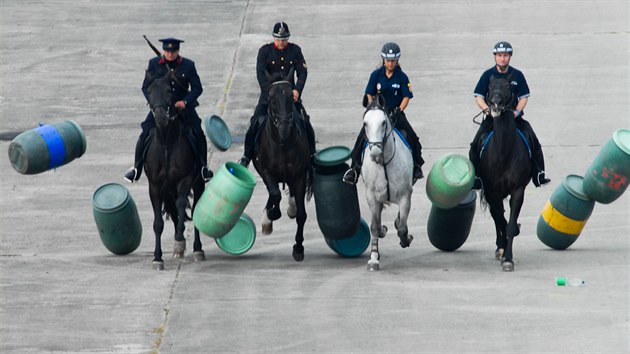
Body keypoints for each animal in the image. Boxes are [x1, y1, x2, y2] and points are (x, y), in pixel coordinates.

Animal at [144, 70, 206, 270]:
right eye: (149, 91)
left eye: (169, 91)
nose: (161, 118)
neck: (166, 143)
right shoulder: (155, 186)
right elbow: (158, 223)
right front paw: (157, 258)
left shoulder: (184, 180)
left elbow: (181, 206)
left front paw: (179, 242)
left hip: (198, 183)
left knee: (193, 211)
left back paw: (197, 249)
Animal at [254, 70, 314, 262]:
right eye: (271, 98)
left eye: (290, 97)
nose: (284, 128)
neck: (283, 143)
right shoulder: (266, 172)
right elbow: (274, 194)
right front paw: (271, 215)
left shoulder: (300, 175)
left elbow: (301, 215)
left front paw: (298, 248)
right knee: (274, 193)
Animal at [360, 94, 414, 272]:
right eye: (365, 123)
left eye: (383, 122)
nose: (375, 153)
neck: (383, 162)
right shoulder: (372, 196)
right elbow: (375, 226)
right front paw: (373, 259)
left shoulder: (405, 196)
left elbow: (402, 227)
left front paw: (406, 239)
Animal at [478, 76, 532, 272]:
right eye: (489, 87)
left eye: (508, 86)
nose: (496, 104)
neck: (503, 154)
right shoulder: (492, 191)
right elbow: (500, 219)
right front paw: (503, 251)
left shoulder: (518, 190)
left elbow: (508, 224)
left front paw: (508, 259)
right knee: (496, 216)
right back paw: (499, 247)